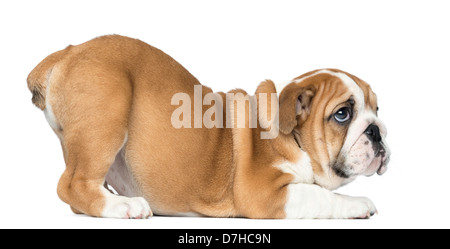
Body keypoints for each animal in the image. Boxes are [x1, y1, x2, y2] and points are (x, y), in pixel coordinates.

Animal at [26, 34, 388, 218]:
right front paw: (359, 203)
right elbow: (319, 195)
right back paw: (123, 206)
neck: (292, 138)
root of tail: (67, 52)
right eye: (342, 114)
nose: (377, 130)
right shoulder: (265, 194)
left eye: (377, 109)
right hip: (106, 115)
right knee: (72, 183)